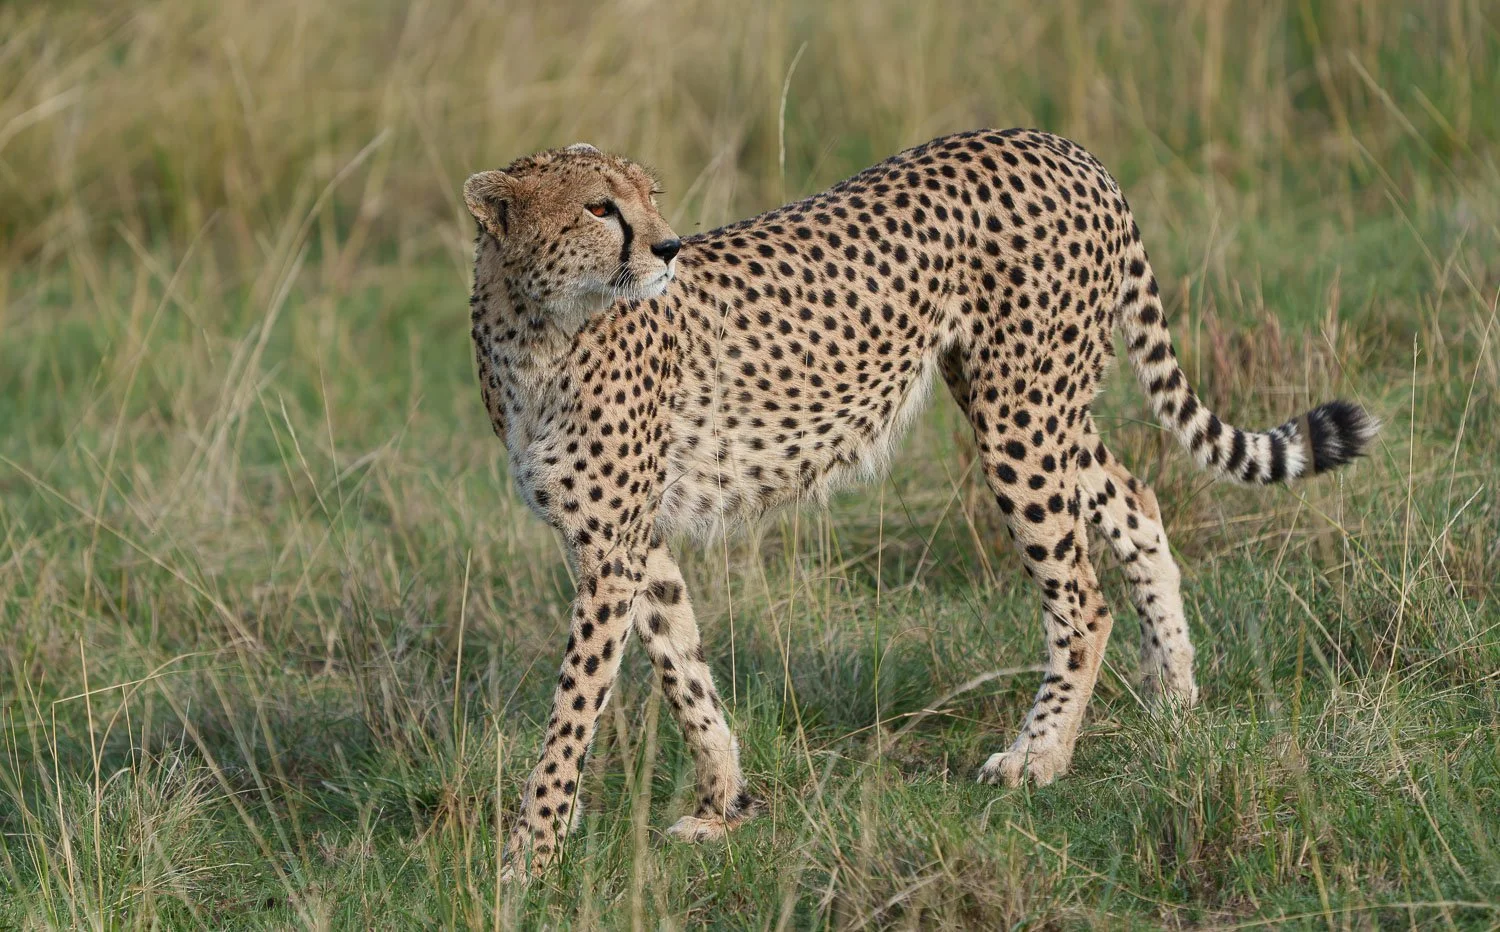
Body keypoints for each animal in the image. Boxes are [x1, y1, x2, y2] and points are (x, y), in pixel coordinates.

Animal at [462, 130, 1377, 879]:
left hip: (1019, 416)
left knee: (1082, 598)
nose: (667, 246)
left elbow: (574, 706)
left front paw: (529, 857)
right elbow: (682, 665)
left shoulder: (610, 546)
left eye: (647, 194)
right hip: (1035, 405)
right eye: (599, 205)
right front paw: (725, 804)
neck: (534, 326)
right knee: (1139, 501)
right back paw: (1175, 698)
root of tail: (1061, 146)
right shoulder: (629, 540)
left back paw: (1038, 758)